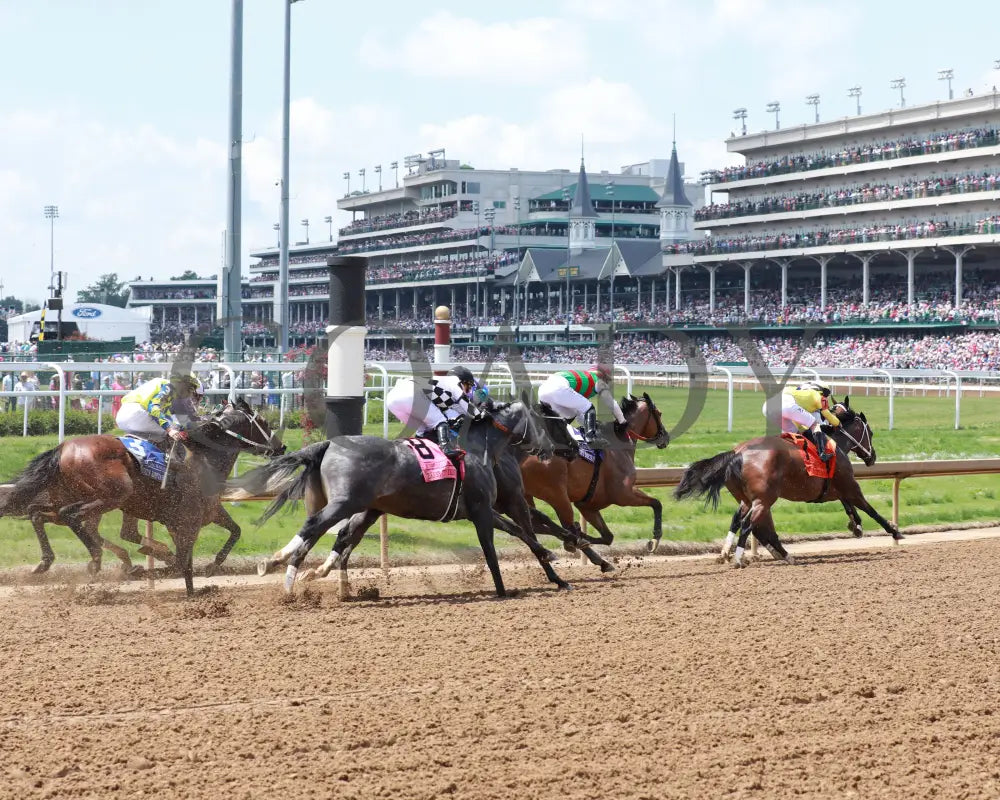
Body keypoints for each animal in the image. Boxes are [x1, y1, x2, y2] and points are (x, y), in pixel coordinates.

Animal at [0, 400, 282, 592]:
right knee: (72, 516)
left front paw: (209, 569)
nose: (281, 446)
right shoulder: (186, 520)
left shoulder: (209, 512)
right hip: (113, 495)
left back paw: (45, 562)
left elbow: (234, 532)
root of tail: (62, 448)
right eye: (264, 422)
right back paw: (97, 560)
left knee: (38, 514)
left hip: (71, 497)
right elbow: (182, 560)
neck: (204, 456)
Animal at [236, 404, 580, 596]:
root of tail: (329, 444)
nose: (569, 449)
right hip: (345, 502)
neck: (478, 446)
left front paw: (553, 560)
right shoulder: (483, 509)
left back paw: (299, 571)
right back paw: (280, 566)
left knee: (334, 532)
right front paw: (504, 589)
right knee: (314, 525)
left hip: (362, 505)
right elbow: (494, 548)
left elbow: (520, 532)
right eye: (552, 423)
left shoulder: (479, 509)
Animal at [516, 390, 672, 552]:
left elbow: (608, 537)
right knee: (555, 524)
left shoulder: (587, 506)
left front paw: (581, 535)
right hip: (557, 495)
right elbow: (656, 503)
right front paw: (655, 539)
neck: (618, 443)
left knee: (534, 523)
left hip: (528, 494)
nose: (666, 437)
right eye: (659, 413)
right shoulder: (624, 495)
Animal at [672, 396, 900, 564]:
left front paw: (856, 525)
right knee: (749, 525)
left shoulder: (835, 488)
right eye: (870, 433)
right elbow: (869, 508)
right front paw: (894, 531)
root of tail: (737, 453)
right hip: (764, 499)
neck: (835, 443)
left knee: (739, 521)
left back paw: (732, 554)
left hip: (746, 499)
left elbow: (848, 505)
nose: (872, 457)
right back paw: (741, 558)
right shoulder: (850, 485)